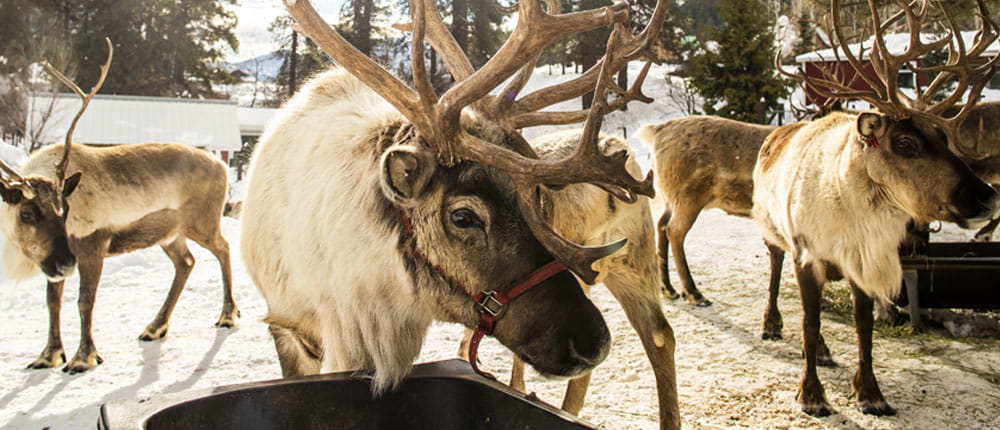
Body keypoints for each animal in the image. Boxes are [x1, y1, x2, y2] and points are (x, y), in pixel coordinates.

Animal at [1, 39, 239, 374]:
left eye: (64, 209)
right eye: (27, 213)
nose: (66, 264)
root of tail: (222, 165)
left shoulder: (92, 245)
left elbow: (84, 301)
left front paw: (83, 357)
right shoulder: (54, 257)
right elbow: (52, 301)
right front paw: (49, 355)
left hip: (203, 222)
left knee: (224, 248)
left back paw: (228, 314)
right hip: (169, 233)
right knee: (186, 262)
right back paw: (155, 327)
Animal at [752, 0, 1000, 417]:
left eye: (945, 137)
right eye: (905, 144)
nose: (987, 196)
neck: (854, 222)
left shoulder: (862, 261)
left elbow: (862, 326)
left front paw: (870, 392)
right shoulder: (807, 254)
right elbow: (809, 322)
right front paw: (811, 394)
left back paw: (822, 352)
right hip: (771, 231)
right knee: (775, 272)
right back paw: (771, 324)